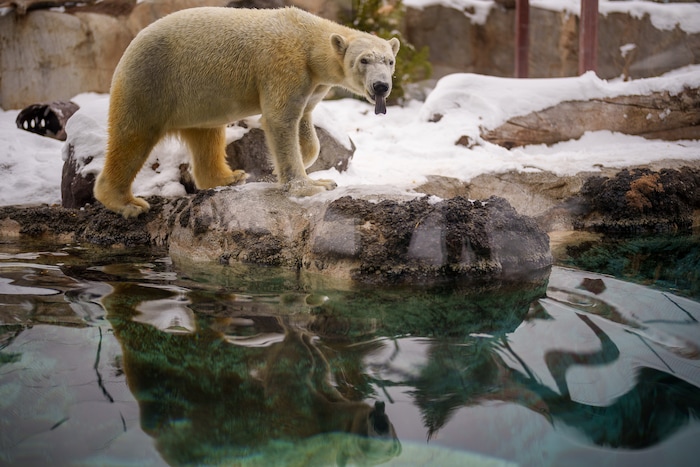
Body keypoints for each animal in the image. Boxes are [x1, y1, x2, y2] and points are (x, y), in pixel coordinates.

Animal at [94, 6, 400, 218]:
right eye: (364, 60)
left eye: (390, 60)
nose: (381, 86)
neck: (308, 40)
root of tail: (130, 46)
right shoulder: (284, 66)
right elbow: (280, 119)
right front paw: (314, 185)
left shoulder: (314, 83)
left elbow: (305, 120)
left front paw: (300, 159)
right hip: (151, 81)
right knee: (133, 136)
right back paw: (128, 203)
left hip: (198, 98)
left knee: (207, 135)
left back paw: (229, 176)